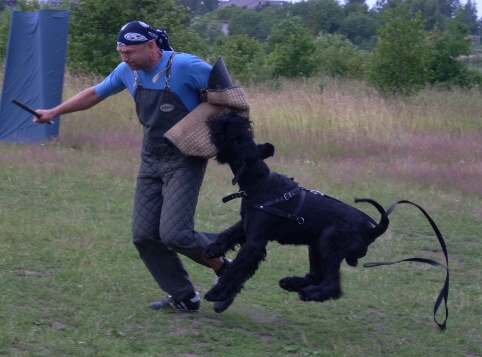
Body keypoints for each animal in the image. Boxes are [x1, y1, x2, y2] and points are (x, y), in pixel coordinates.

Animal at [202, 112, 388, 312]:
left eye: (237, 140)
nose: (230, 117)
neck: (259, 183)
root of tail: (372, 230)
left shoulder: (255, 242)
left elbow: (237, 268)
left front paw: (217, 293)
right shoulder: (246, 225)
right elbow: (228, 234)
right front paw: (213, 248)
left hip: (329, 245)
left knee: (332, 284)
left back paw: (309, 293)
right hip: (316, 246)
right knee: (317, 275)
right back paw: (291, 283)